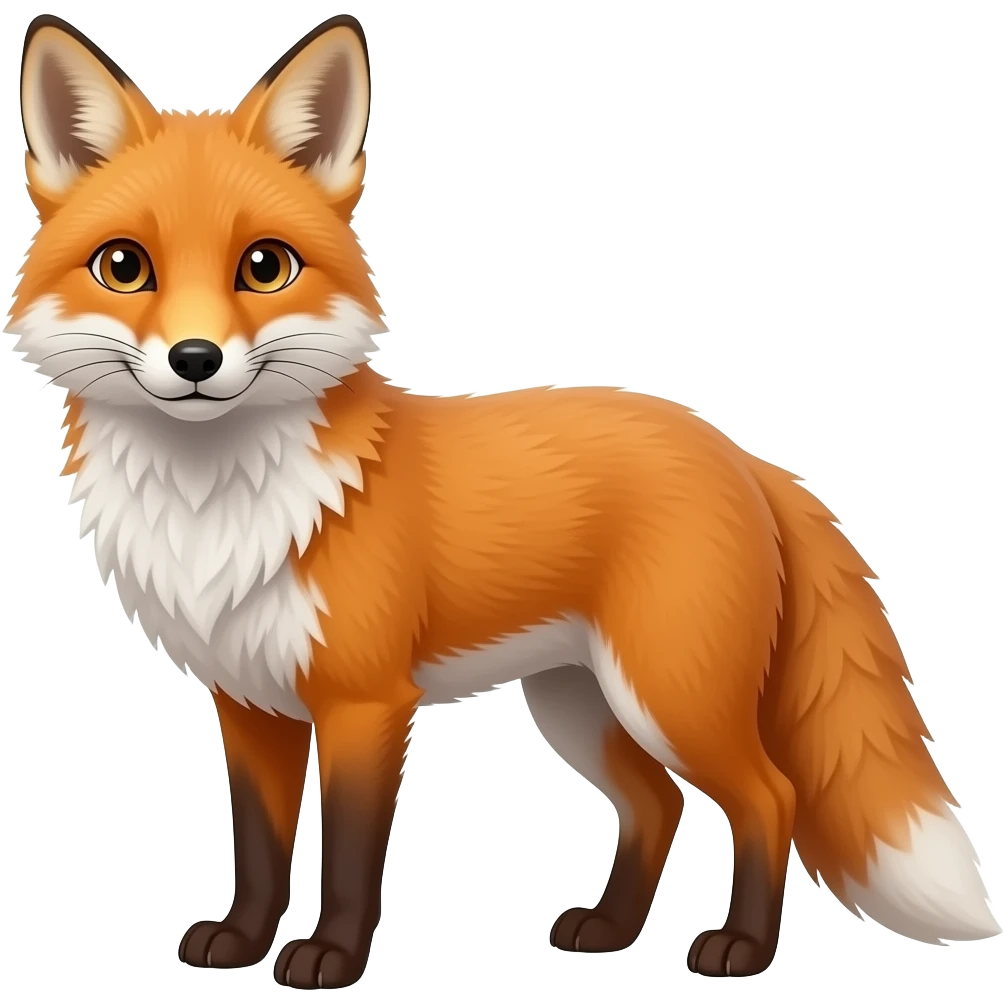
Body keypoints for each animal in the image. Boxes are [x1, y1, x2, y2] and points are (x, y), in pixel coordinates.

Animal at [9, 11, 1000, 990]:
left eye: (263, 266)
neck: (214, 507)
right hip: (578, 703)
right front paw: (243, 941)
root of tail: (740, 453)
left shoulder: (366, 703)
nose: (196, 360)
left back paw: (740, 950)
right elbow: (258, 848)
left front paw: (331, 957)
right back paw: (607, 929)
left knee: (768, 795)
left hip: (670, 695)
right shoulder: (250, 701)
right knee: (657, 803)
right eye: (125, 266)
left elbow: (352, 854)